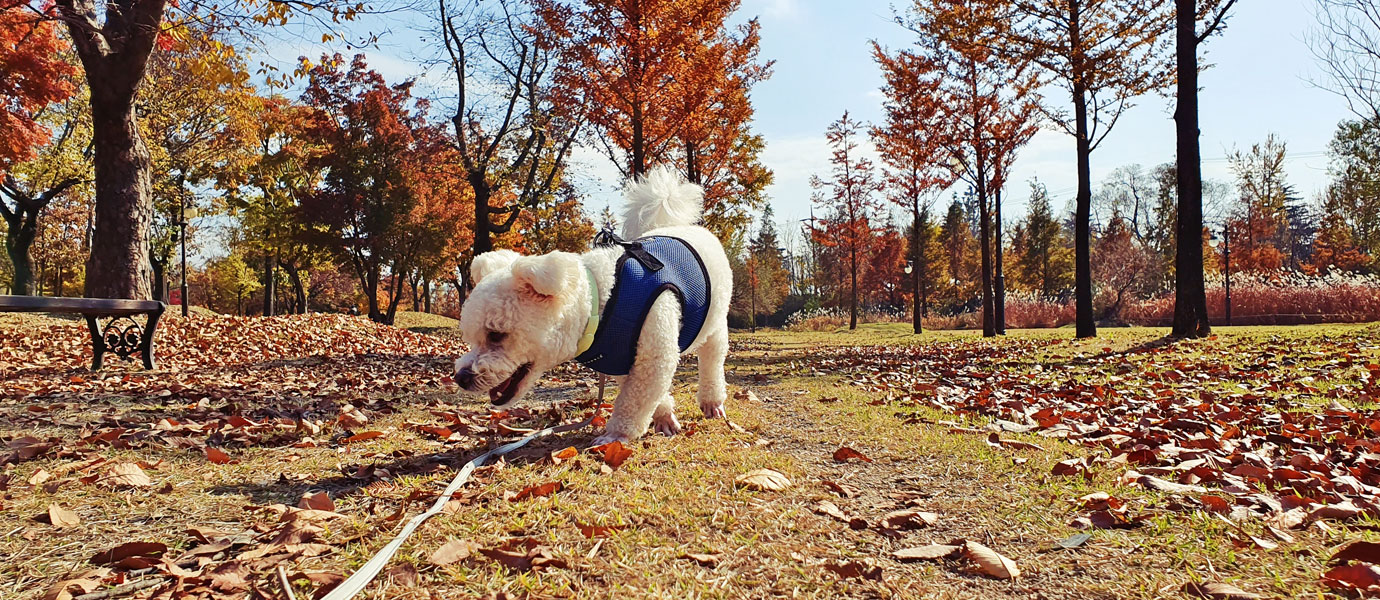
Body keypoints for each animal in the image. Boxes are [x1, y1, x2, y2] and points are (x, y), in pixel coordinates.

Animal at [452, 166, 734, 444]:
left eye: (496, 335)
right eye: (471, 338)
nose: (461, 378)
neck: (602, 300)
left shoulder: (654, 355)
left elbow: (634, 401)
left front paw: (617, 435)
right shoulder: (622, 361)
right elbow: (647, 393)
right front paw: (664, 416)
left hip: (715, 323)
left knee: (712, 359)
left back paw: (712, 400)